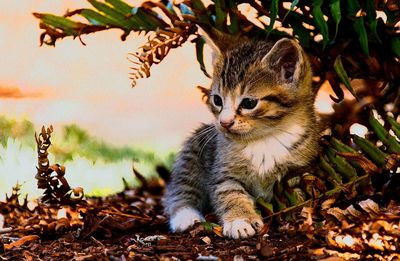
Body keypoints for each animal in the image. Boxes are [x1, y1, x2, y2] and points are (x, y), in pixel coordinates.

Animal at [162, 30, 318, 238]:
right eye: (217, 100)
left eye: (249, 103)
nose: (224, 122)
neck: (263, 139)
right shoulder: (222, 170)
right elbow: (228, 192)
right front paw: (240, 220)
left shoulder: (299, 169)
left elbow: (297, 193)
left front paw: (298, 215)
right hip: (193, 153)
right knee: (182, 187)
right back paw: (185, 216)